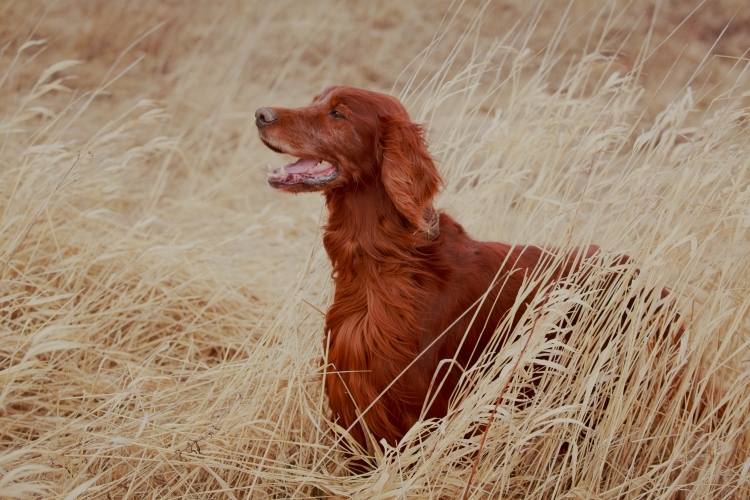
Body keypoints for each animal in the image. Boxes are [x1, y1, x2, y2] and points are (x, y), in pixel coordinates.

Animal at [256, 86, 680, 454]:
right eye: (316, 100)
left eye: (337, 113)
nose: (261, 114)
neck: (387, 259)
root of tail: (653, 283)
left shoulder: (420, 408)